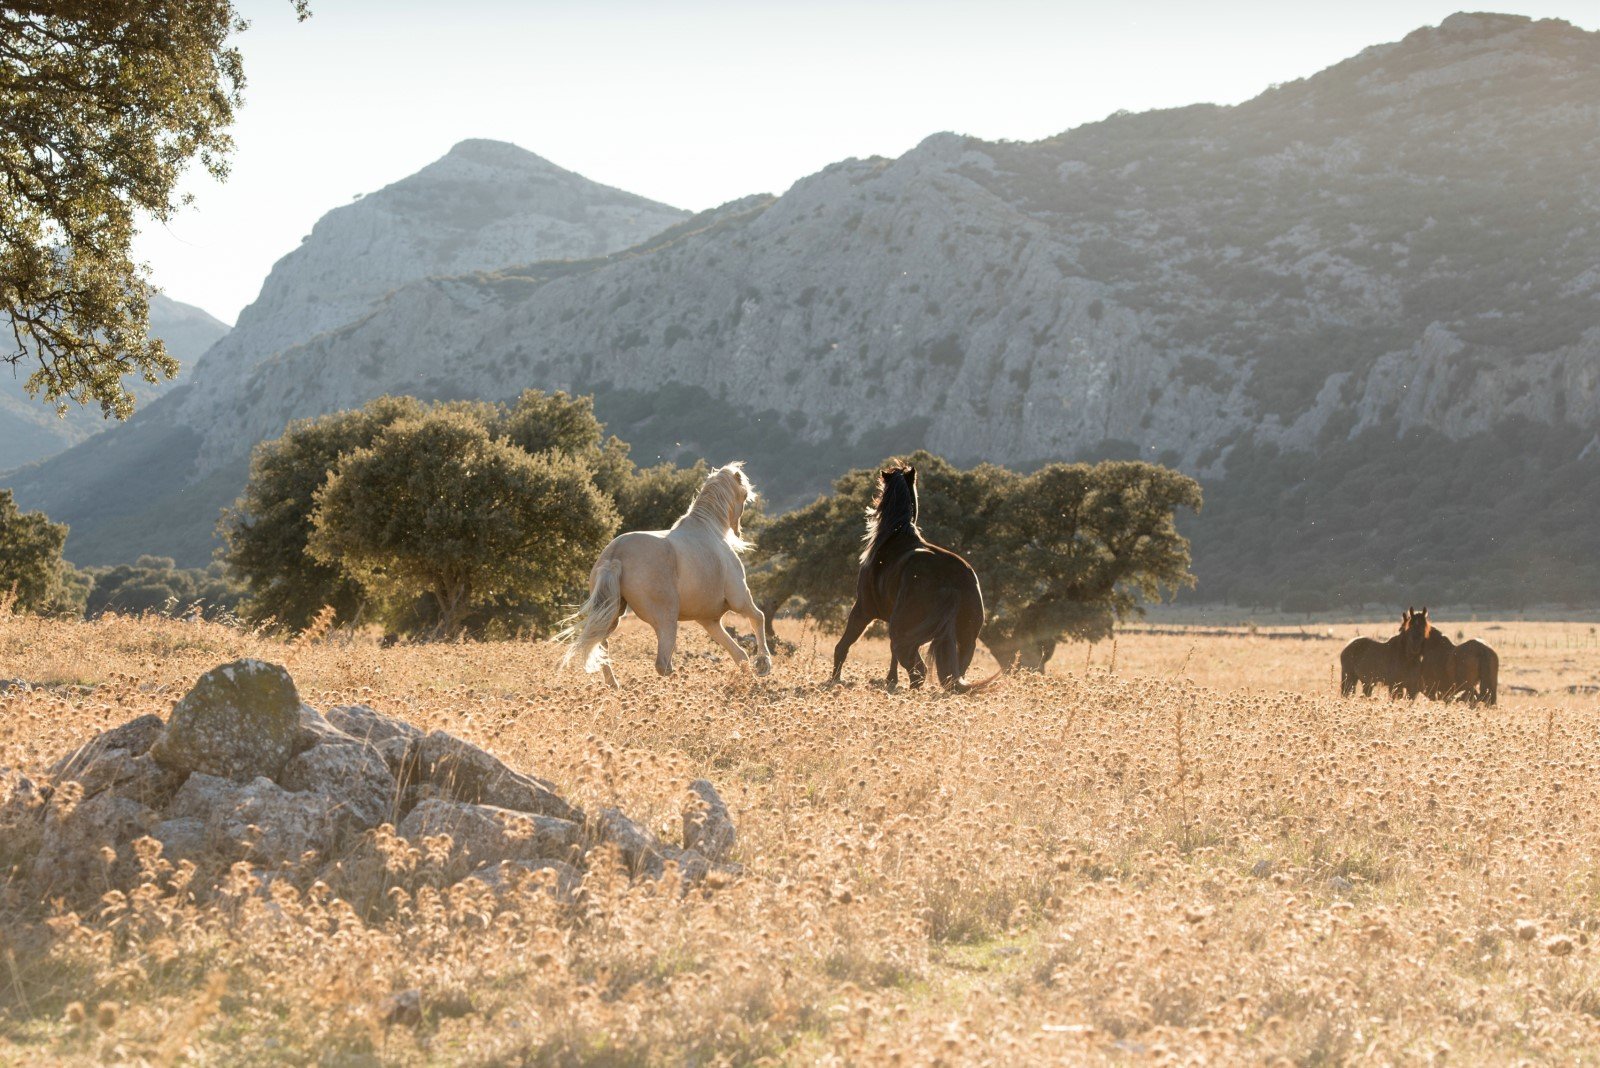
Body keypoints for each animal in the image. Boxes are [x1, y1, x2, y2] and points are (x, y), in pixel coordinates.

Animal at [560, 463, 771, 687]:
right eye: (745, 494)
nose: (738, 531)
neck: (710, 530)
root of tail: (614, 555)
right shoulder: (740, 599)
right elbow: (758, 618)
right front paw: (764, 665)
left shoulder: (709, 619)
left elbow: (739, 654)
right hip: (666, 620)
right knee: (663, 664)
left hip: (612, 614)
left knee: (604, 645)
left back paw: (614, 685)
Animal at [832, 463, 992, 693]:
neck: (894, 536)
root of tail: (951, 583)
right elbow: (891, 660)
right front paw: (890, 680)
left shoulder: (863, 609)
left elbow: (842, 647)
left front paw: (834, 680)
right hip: (965, 642)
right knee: (950, 676)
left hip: (902, 634)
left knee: (919, 672)